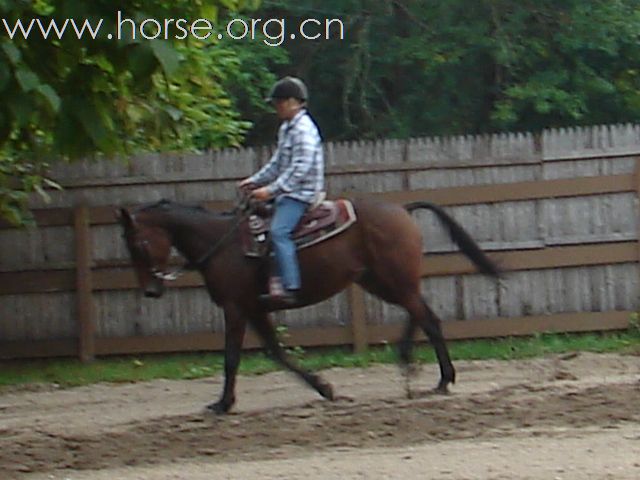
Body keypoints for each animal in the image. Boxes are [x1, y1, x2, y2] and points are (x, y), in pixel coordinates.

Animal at [119, 195, 500, 412]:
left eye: (139, 244)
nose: (151, 290)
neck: (222, 244)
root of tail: (402, 210)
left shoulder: (235, 308)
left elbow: (231, 359)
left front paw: (223, 404)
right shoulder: (255, 310)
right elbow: (277, 353)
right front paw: (325, 388)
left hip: (393, 281)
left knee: (427, 317)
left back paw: (442, 378)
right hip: (381, 281)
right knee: (420, 313)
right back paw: (411, 363)